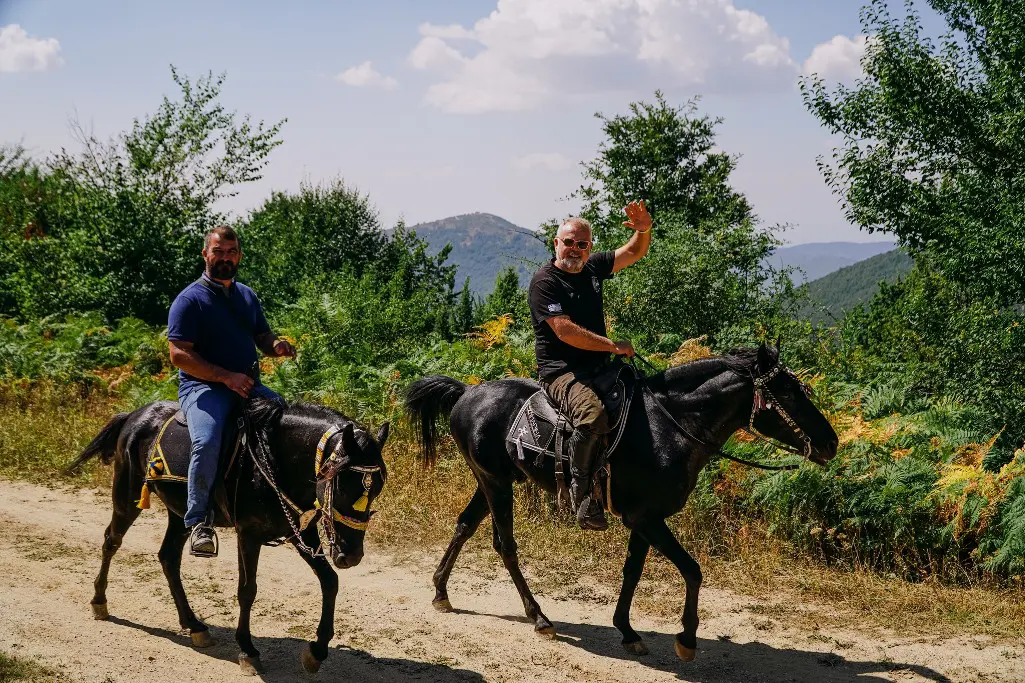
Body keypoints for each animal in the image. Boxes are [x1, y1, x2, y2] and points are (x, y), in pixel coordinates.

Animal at [66, 395, 389, 672]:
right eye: (344, 487)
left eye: (376, 489)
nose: (352, 555)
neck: (274, 458)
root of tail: (134, 415)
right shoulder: (248, 534)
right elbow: (247, 590)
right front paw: (247, 650)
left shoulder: (302, 532)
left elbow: (330, 582)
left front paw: (317, 651)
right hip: (127, 494)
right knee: (112, 541)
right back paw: (99, 602)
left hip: (180, 513)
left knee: (168, 557)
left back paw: (194, 625)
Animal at [403, 346, 836, 660]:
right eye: (787, 392)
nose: (830, 443)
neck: (670, 427)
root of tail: (467, 392)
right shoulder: (646, 518)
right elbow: (692, 571)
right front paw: (686, 639)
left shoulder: (645, 519)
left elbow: (632, 572)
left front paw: (627, 630)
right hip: (496, 484)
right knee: (504, 545)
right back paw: (539, 616)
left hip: (490, 481)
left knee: (464, 525)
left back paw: (441, 592)